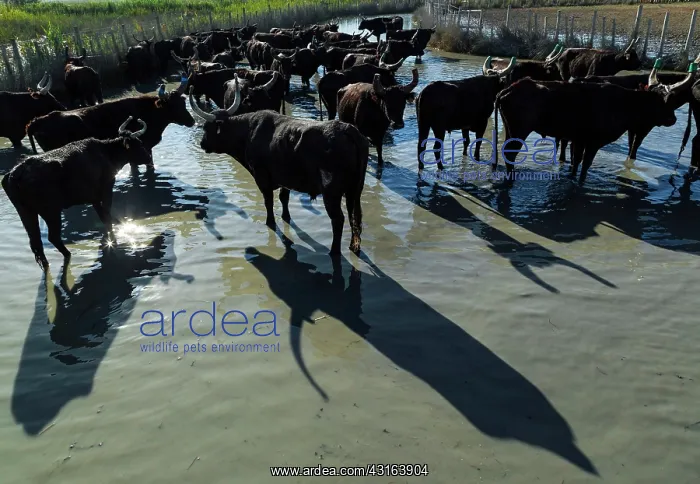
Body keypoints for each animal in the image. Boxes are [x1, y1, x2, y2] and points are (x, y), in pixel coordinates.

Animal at [1, 116, 151, 271]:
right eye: (139, 144)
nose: (149, 158)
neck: (106, 153)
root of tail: (15, 174)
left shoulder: (94, 197)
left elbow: (103, 216)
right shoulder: (106, 190)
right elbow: (107, 214)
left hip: (26, 213)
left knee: (36, 243)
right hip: (51, 212)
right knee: (52, 238)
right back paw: (68, 254)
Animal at [188, 75, 369, 256]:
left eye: (206, 128)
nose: (202, 144)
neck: (248, 131)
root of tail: (347, 129)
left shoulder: (261, 176)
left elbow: (268, 201)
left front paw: (270, 222)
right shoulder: (285, 178)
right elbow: (284, 197)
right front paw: (285, 217)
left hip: (331, 193)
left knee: (338, 219)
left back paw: (334, 251)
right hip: (354, 191)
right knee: (354, 216)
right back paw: (353, 247)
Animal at [492, 71, 694, 185]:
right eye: (664, 101)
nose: (673, 118)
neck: (625, 104)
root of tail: (508, 89)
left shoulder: (578, 140)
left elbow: (575, 162)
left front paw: (571, 177)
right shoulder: (593, 143)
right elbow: (585, 165)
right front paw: (581, 182)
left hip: (510, 131)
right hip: (519, 131)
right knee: (510, 154)